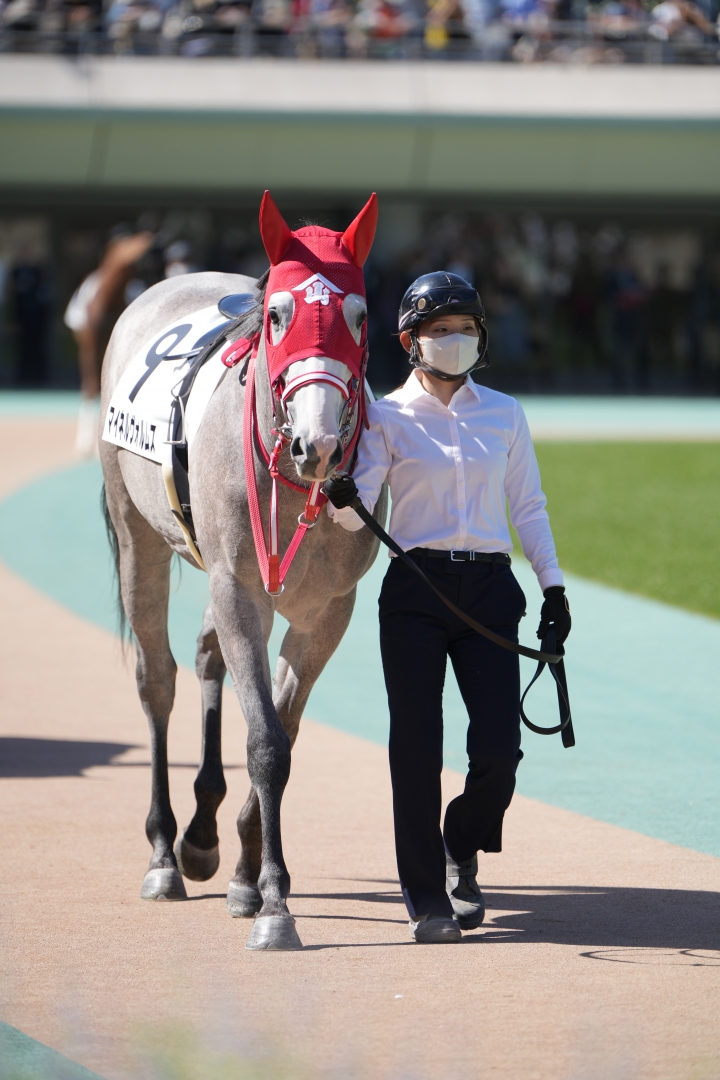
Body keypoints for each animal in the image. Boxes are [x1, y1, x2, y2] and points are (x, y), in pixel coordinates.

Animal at [99, 192, 387, 951]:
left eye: (359, 315)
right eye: (280, 314)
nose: (319, 442)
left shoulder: (328, 611)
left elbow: (282, 730)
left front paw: (249, 873)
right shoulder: (241, 587)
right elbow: (265, 744)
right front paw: (276, 902)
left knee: (205, 657)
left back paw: (203, 836)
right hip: (137, 532)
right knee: (158, 678)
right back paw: (166, 852)